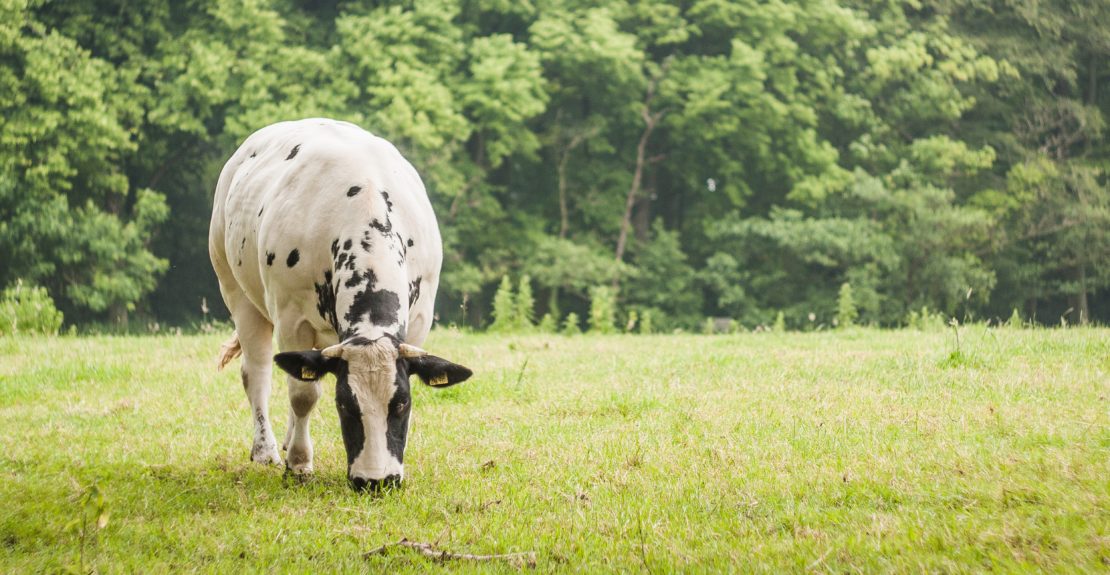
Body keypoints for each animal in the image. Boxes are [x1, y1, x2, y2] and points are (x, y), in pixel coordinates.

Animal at [208, 115, 472, 490]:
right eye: (345, 405)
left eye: (401, 404)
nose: (376, 481)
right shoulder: (291, 319)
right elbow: (303, 394)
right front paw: (299, 464)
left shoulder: (419, 320)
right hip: (236, 290)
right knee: (258, 372)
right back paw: (267, 449)